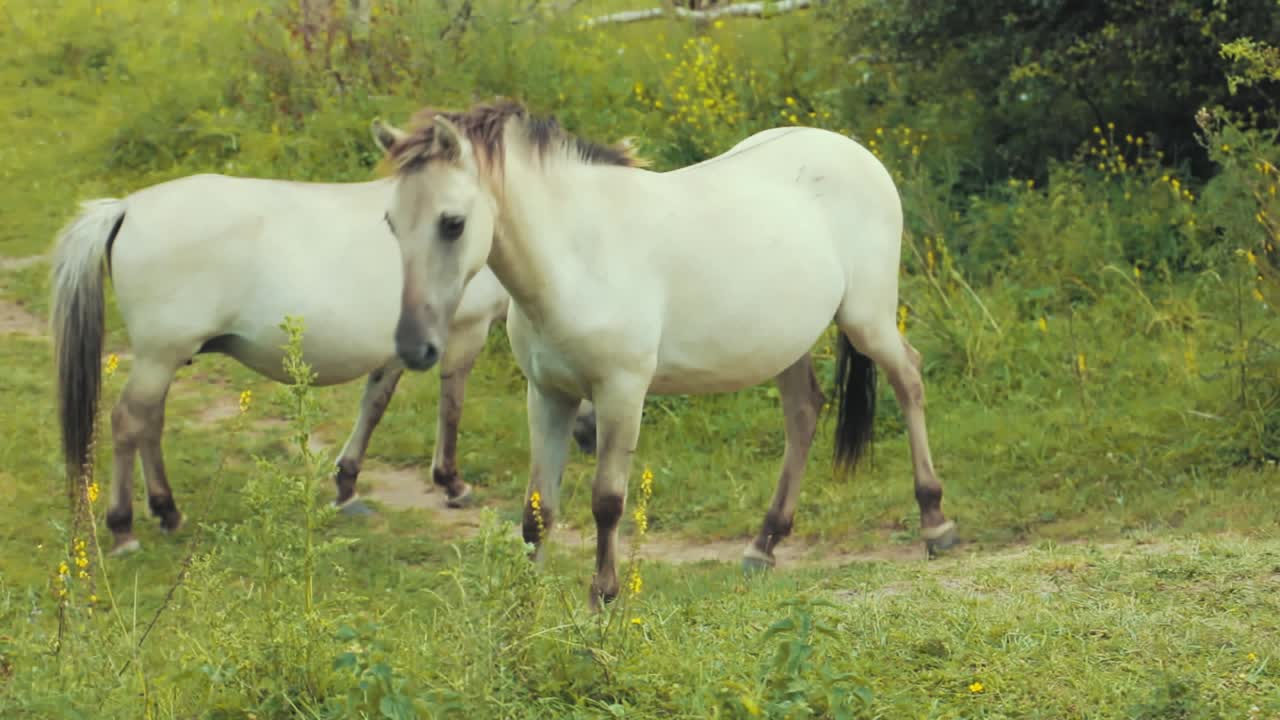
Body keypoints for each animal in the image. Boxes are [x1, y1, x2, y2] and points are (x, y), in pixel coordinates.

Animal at [50, 171, 598, 556]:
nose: (590, 438)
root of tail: (125, 208)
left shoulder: (400, 347)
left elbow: (374, 404)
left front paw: (348, 483)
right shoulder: (463, 334)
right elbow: (452, 404)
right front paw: (451, 482)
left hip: (164, 358)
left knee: (149, 423)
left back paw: (166, 511)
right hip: (159, 356)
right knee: (129, 422)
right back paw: (123, 527)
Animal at [370, 98, 958, 610]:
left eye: (452, 222)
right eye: (391, 223)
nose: (413, 345)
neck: (579, 254)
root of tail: (855, 153)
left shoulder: (622, 392)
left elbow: (607, 501)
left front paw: (603, 598)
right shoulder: (548, 395)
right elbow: (538, 512)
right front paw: (524, 605)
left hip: (867, 319)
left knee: (909, 378)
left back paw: (935, 522)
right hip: (786, 341)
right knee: (804, 411)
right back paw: (763, 543)